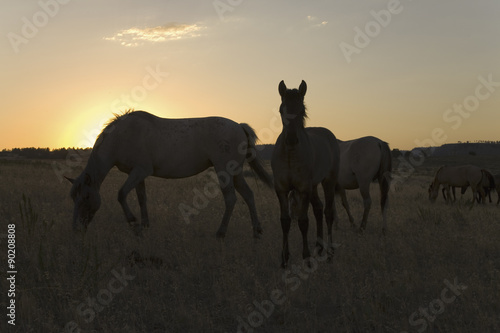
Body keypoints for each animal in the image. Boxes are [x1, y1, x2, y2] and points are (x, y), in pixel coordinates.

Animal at [65, 109, 274, 236]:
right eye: (73, 198)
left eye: (85, 197)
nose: (76, 229)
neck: (121, 137)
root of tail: (239, 126)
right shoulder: (138, 174)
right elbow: (141, 198)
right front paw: (144, 225)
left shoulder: (140, 171)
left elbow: (121, 194)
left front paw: (133, 222)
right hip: (236, 173)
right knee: (248, 195)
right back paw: (257, 231)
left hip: (224, 171)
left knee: (231, 199)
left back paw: (221, 233)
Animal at [272, 80, 342, 268]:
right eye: (281, 110)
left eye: (302, 111)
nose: (291, 139)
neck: (290, 155)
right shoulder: (281, 190)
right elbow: (285, 221)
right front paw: (284, 258)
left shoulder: (303, 189)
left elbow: (303, 222)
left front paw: (306, 258)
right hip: (314, 186)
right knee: (318, 208)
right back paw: (319, 247)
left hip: (328, 182)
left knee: (328, 212)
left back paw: (330, 252)